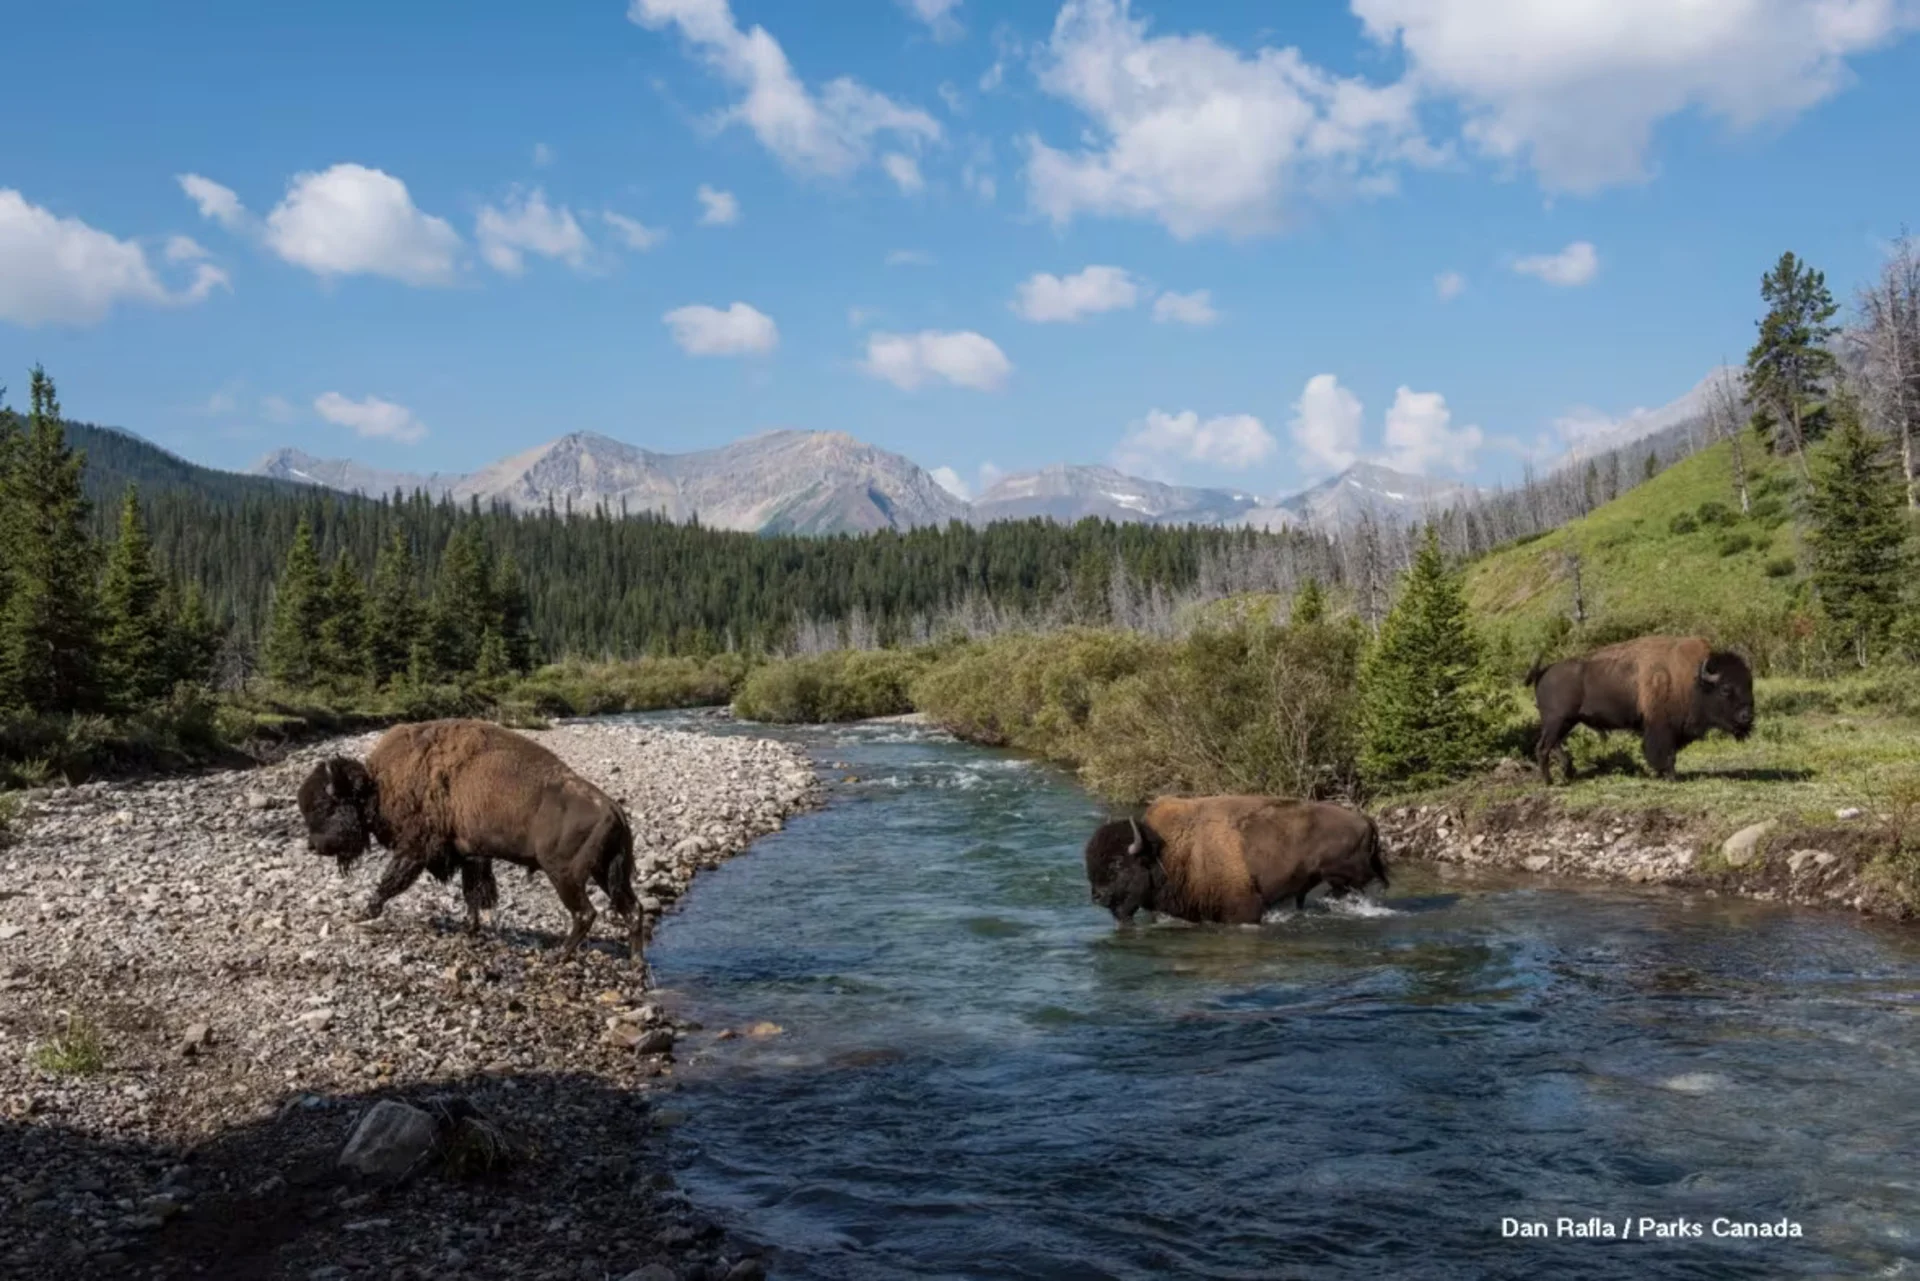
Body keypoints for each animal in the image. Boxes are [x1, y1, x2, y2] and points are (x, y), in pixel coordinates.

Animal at [293, 722, 645, 960]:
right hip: (607, 873)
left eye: (325, 806)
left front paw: (364, 912)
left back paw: (558, 955)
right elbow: (473, 893)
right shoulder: (471, 856)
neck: (377, 785)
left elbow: (392, 881)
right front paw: (471, 928)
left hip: (564, 875)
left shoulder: (416, 849)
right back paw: (636, 965)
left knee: (585, 913)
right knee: (633, 909)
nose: (312, 845)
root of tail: (612, 807)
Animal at [1090, 795, 1390, 925]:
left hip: (1351, 878)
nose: (1097, 896)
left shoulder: (1242, 910)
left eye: (1118, 864)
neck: (1169, 851)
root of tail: (1365, 819)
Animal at [1528, 629, 1758, 783]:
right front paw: (1670, 777)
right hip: (1557, 720)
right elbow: (1665, 754)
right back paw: (1549, 782)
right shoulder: (1660, 727)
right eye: (1726, 689)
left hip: (1565, 722)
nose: (1747, 716)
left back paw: (1567, 772)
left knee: (1552, 744)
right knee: (1543, 747)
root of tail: (1544, 671)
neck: (1693, 679)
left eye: (1749, 684)